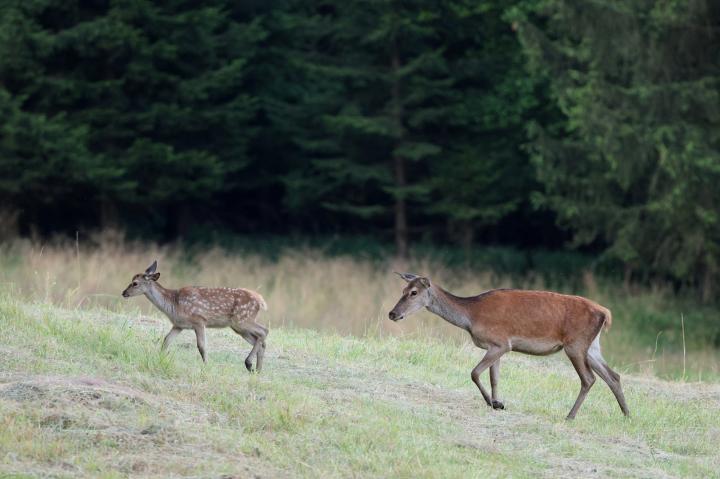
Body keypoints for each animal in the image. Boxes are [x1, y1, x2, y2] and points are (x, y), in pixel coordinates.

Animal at [122, 260, 268, 374]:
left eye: (135, 283)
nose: (124, 293)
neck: (173, 304)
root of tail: (260, 300)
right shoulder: (178, 325)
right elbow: (166, 341)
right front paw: (158, 358)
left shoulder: (199, 320)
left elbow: (201, 346)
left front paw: (206, 366)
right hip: (239, 327)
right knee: (259, 340)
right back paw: (257, 370)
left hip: (242, 320)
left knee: (264, 331)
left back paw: (249, 364)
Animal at [388, 274, 632, 420]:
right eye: (402, 290)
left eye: (413, 292)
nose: (392, 314)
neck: (471, 317)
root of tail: (605, 313)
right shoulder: (498, 347)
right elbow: (494, 377)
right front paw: (497, 401)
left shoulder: (500, 342)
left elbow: (475, 373)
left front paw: (493, 402)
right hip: (591, 347)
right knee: (613, 376)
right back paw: (627, 415)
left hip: (575, 344)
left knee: (589, 379)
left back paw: (570, 416)